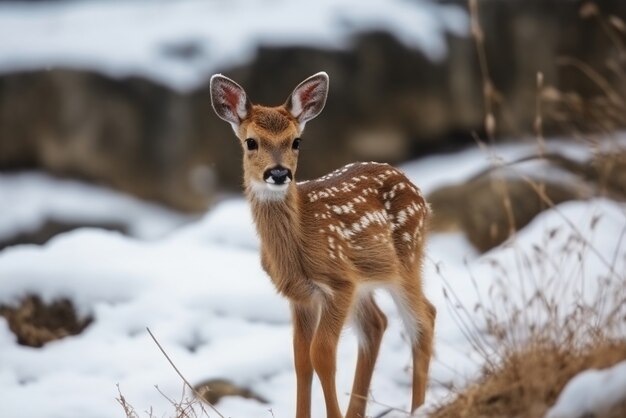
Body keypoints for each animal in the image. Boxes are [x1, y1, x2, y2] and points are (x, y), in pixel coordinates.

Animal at [210, 72, 434, 418]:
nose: (278, 173)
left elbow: (322, 355)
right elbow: (302, 360)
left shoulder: (339, 282)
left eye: (296, 141)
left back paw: (419, 408)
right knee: (377, 324)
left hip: (407, 259)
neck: (300, 240)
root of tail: (418, 192)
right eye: (251, 142)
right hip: (368, 279)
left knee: (424, 321)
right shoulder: (301, 295)